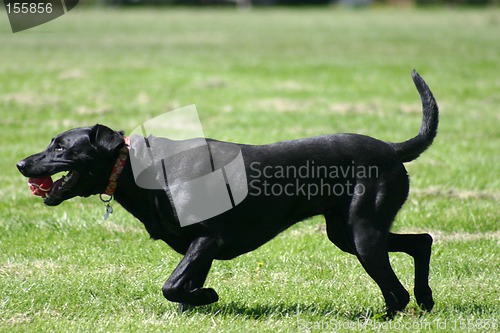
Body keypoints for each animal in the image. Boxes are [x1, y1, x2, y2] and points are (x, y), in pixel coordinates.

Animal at [16, 70, 438, 316]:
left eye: (61, 147)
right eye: (51, 142)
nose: (20, 164)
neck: (140, 170)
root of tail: (392, 149)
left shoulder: (208, 238)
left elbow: (172, 285)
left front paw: (209, 297)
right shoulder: (199, 247)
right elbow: (182, 287)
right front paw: (196, 306)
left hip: (363, 234)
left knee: (397, 288)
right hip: (345, 233)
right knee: (421, 242)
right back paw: (425, 299)